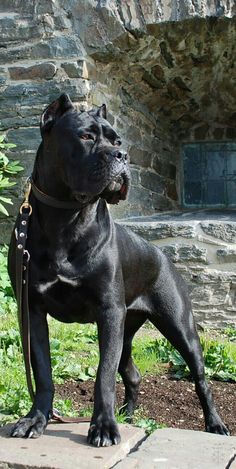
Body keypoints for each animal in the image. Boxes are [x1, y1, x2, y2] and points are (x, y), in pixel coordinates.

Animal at [7, 92, 229, 446]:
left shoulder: (109, 312)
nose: (122, 156)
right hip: (126, 329)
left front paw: (103, 427)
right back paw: (128, 414)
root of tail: (162, 255)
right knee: (133, 374)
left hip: (178, 327)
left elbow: (103, 375)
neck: (65, 217)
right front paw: (35, 419)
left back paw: (215, 424)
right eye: (85, 136)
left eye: (117, 140)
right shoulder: (32, 311)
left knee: (201, 379)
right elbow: (42, 371)